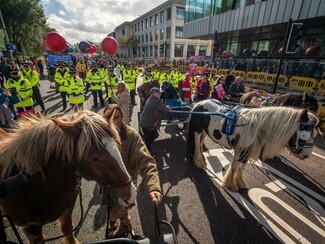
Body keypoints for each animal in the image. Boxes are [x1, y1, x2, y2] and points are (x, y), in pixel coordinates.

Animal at [0, 111, 136, 244]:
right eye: (94, 158)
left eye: (117, 145)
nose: (130, 196)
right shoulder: (31, 230)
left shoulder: (67, 208)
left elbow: (67, 229)